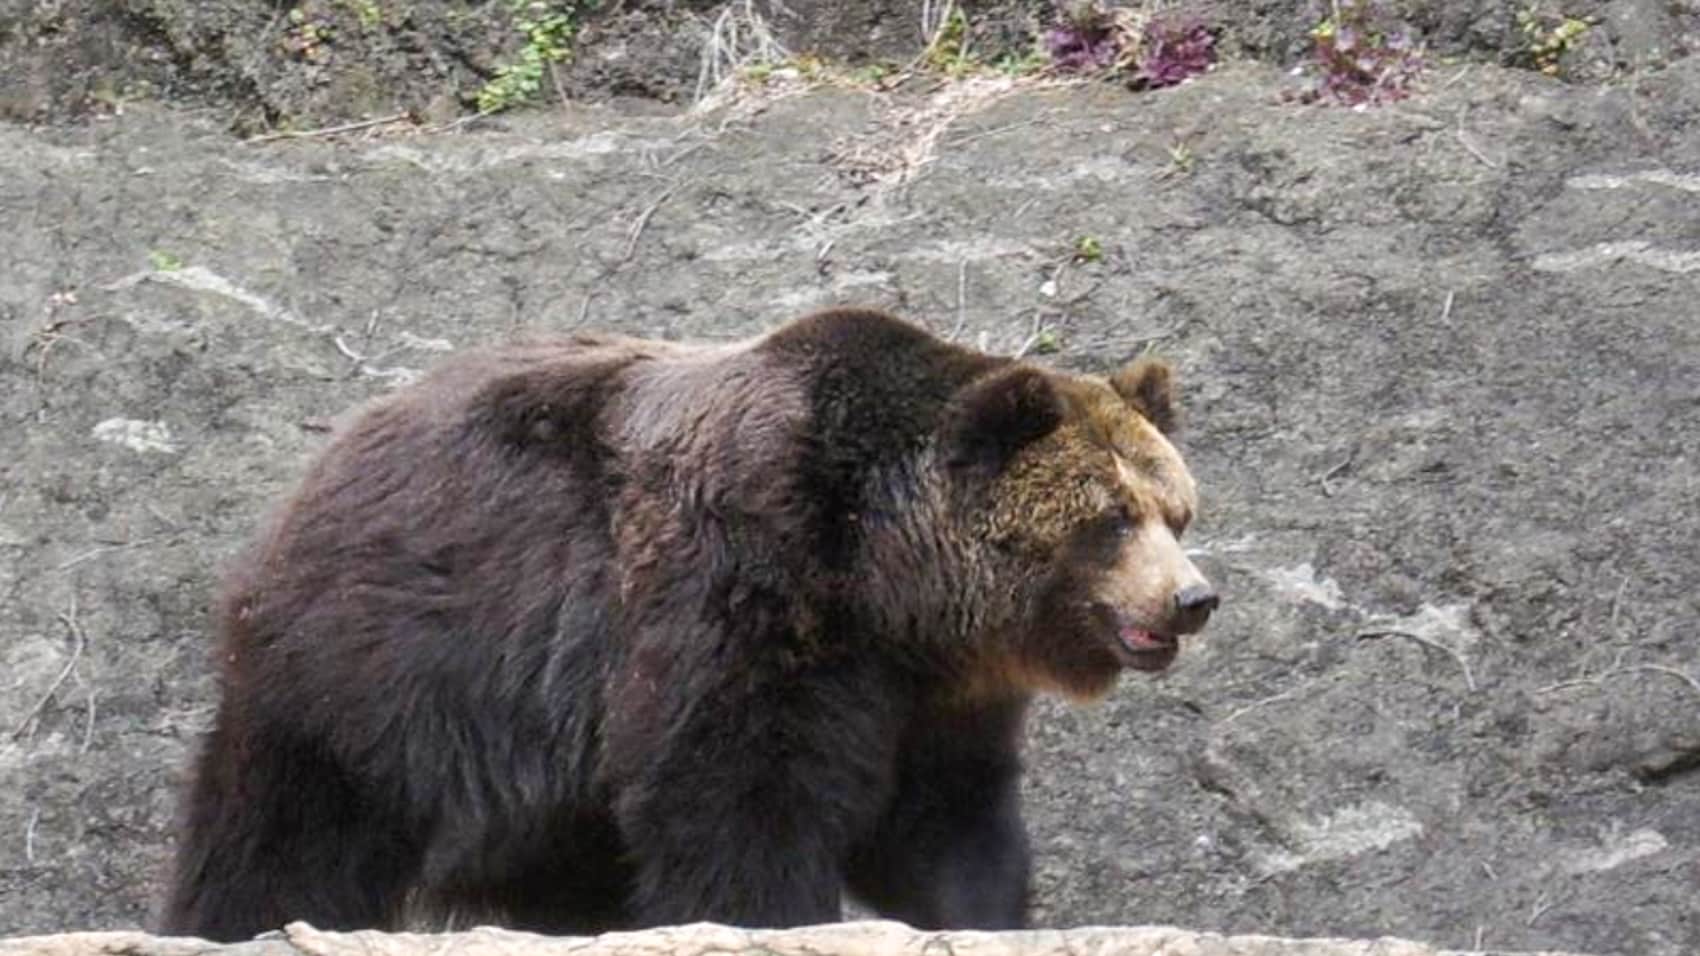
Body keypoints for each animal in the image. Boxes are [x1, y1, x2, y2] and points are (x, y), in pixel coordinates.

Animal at [157, 306, 1218, 942]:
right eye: (1110, 519)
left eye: (1176, 510)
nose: (1192, 599)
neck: (887, 580)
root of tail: (328, 454)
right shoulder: (743, 593)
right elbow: (736, 798)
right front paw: (771, 915)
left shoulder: (934, 696)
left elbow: (947, 825)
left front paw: (984, 912)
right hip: (391, 663)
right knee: (293, 822)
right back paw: (238, 916)